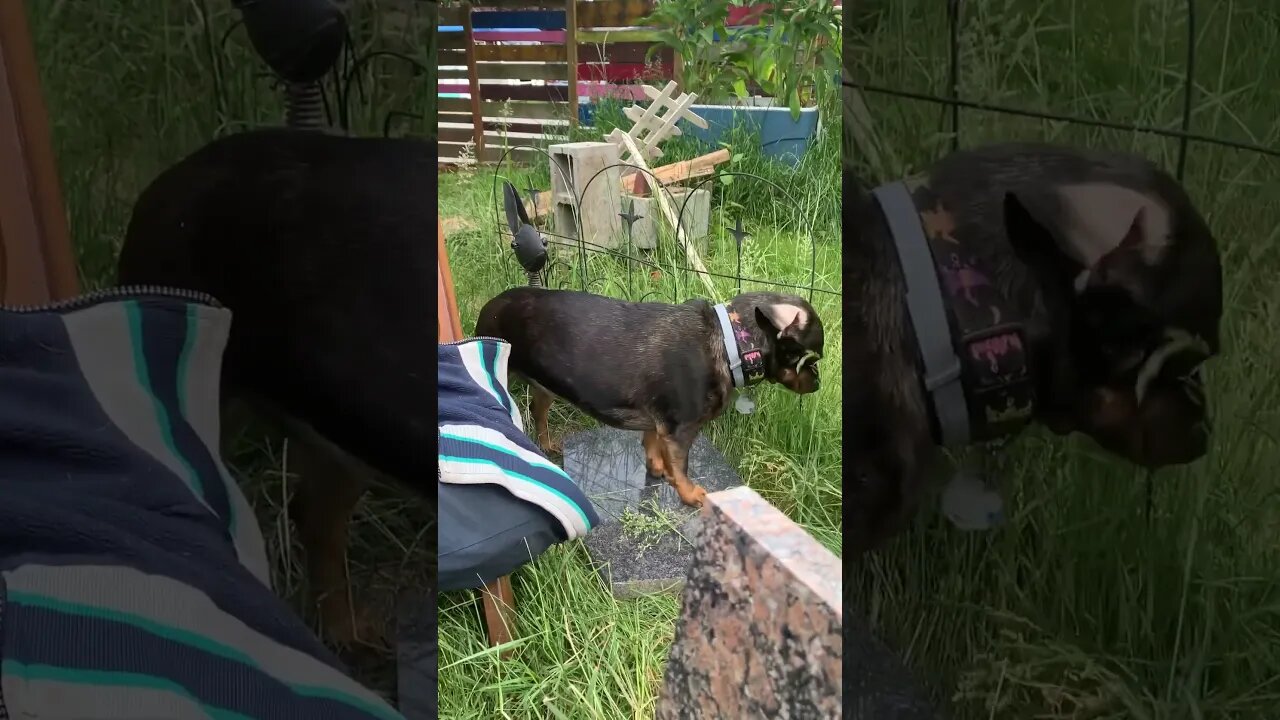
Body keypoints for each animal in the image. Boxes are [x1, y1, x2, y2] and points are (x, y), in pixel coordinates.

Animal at [476, 285, 824, 504]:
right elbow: (681, 467)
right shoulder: (680, 430)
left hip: (545, 386)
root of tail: (492, 304)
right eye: (811, 359)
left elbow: (653, 446)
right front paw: (690, 494)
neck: (731, 344)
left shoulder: (660, 423)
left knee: (539, 412)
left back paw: (547, 444)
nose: (818, 383)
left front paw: (658, 469)